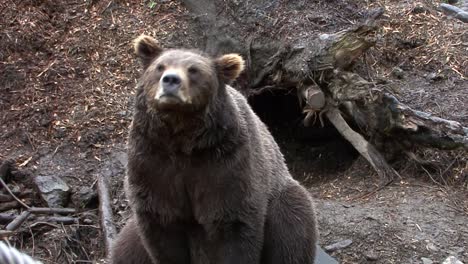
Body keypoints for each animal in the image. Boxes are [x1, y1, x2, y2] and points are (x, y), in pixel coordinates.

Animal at [109, 35, 318, 264]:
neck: (182, 139)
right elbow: (161, 226)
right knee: (126, 247)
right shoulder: (152, 160)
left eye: (193, 70)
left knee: (292, 227)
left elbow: (233, 226)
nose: (170, 80)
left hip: (280, 196)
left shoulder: (225, 163)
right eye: (160, 67)